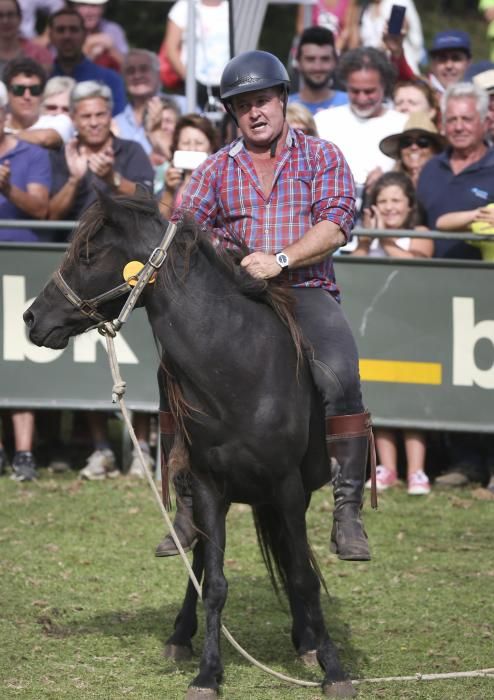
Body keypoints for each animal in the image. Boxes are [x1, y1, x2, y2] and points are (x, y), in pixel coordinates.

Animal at [25, 190, 356, 700]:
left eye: (88, 254)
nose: (30, 317)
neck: (240, 367)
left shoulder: (287, 486)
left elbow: (302, 575)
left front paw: (332, 667)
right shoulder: (206, 485)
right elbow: (214, 582)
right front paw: (207, 674)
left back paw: (309, 633)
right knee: (198, 559)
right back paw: (181, 635)